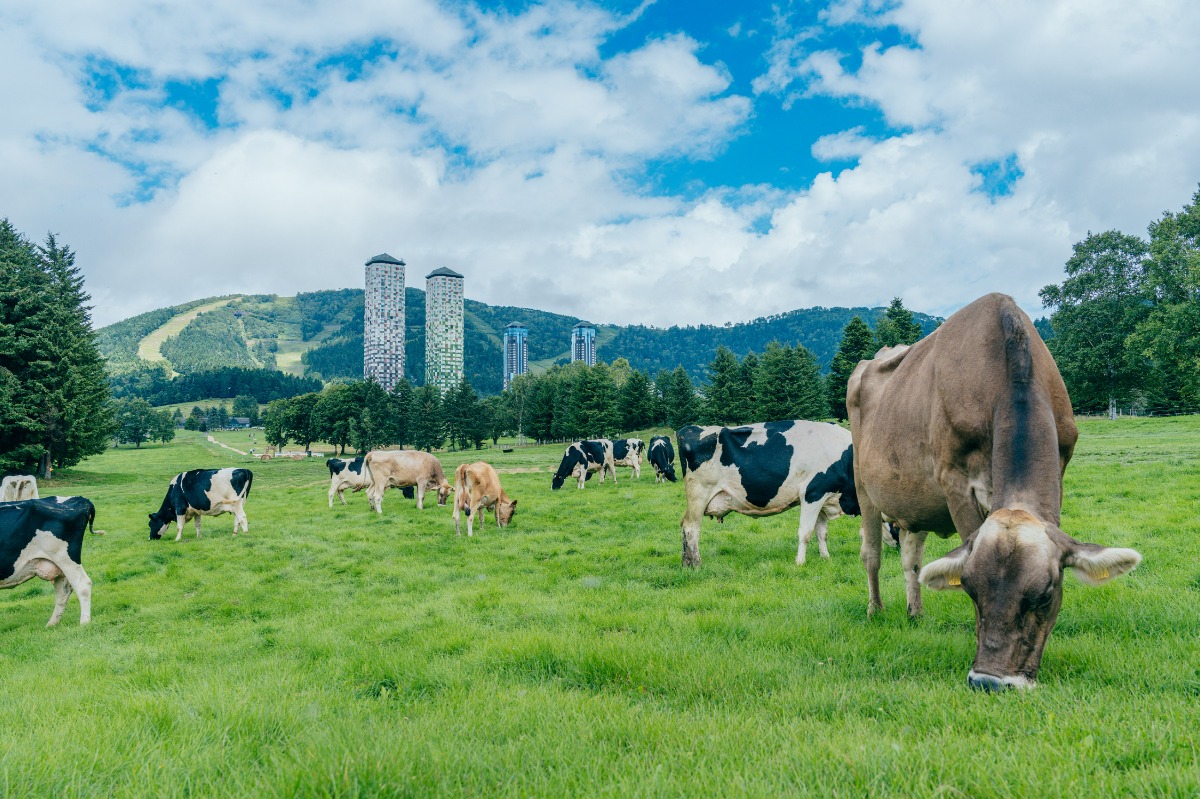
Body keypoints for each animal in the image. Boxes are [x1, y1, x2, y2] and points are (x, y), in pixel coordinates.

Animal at [0, 494, 99, 623]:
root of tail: (80, 498)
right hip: (58, 565)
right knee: (63, 591)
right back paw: (51, 624)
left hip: (65, 558)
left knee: (83, 585)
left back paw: (84, 622)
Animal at [676, 417, 864, 566]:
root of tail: (688, 429)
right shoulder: (813, 493)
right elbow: (805, 532)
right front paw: (800, 562)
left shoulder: (825, 497)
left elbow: (822, 533)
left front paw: (826, 558)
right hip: (699, 494)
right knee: (691, 528)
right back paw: (696, 564)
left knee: (685, 526)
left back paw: (686, 563)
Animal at [849, 289, 1137, 686]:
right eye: (969, 588)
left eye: (1045, 595)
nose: (989, 681)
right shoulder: (954, 481)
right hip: (863, 485)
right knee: (872, 554)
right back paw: (875, 611)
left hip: (914, 501)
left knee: (911, 559)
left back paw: (915, 612)